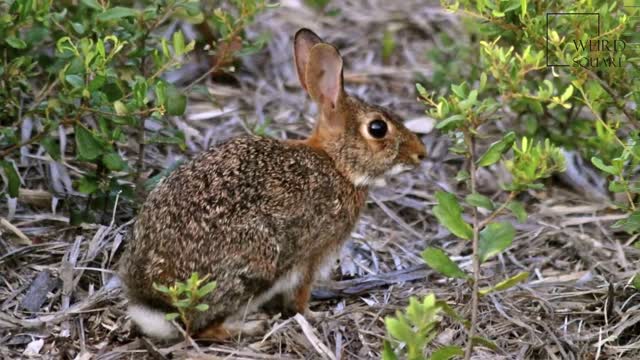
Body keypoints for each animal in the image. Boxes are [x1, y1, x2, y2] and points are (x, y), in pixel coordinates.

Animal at [122, 28, 428, 340]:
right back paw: (251, 326)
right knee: (201, 328)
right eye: (378, 128)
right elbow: (299, 297)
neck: (337, 163)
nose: (421, 153)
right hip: (257, 265)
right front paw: (313, 316)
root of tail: (155, 305)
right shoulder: (313, 256)